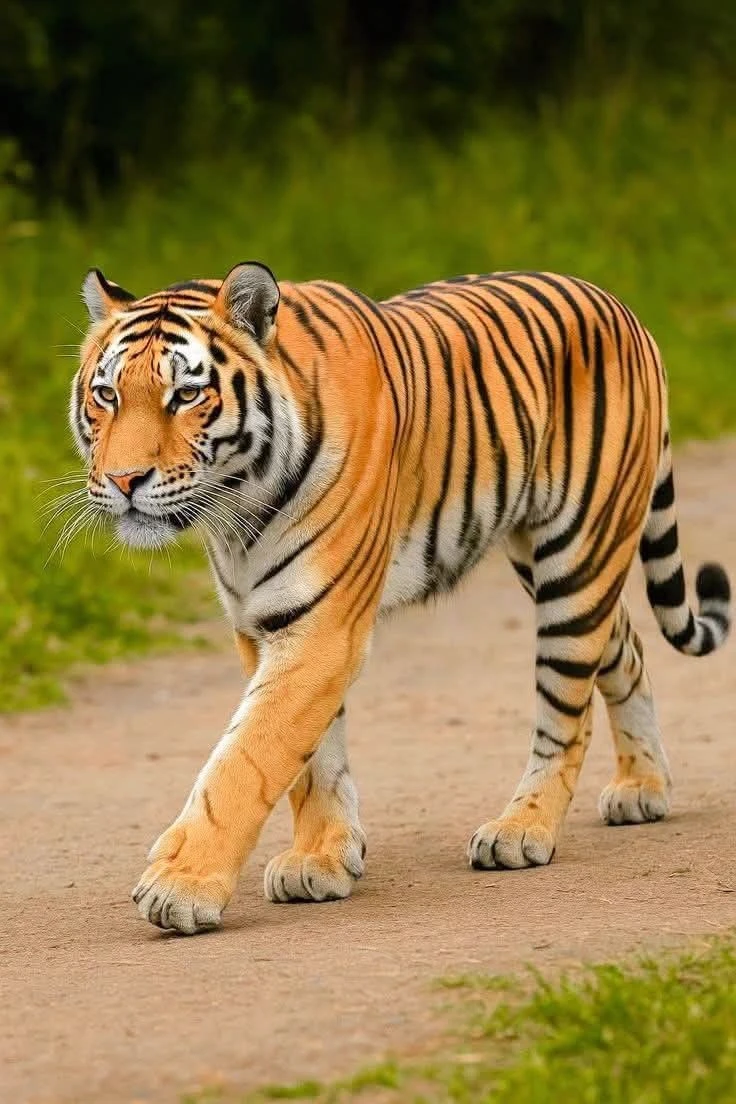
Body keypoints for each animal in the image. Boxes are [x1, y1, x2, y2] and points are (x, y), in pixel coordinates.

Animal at [70, 262, 731, 935]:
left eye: (185, 396)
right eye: (108, 395)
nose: (124, 481)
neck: (238, 509)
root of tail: (620, 307)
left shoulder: (322, 629)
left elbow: (246, 759)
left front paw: (180, 886)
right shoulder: (268, 623)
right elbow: (310, 760)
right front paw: (323, 858)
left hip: (578, 556)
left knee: (566, 714)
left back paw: (523, 829)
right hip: (551, 558)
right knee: (626, 647)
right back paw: (643, 785)